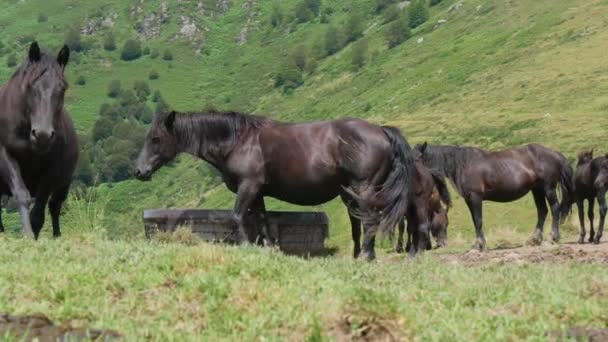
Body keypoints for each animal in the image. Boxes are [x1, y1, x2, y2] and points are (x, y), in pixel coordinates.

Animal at [0, 42, 78, 238]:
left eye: (62, 88)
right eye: (30, 86)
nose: (42, 135)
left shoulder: (51, 168)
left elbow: (39, 211)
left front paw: (32, 235)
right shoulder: (5, 155)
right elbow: (22, 195)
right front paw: (27, 234)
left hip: (63, 184)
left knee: (55, 207)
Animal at [135, 111, 416, 260]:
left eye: (156, 139)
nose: (139, 171)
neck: (238, 141)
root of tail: (381, 131)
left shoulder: (248, 187)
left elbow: (237, 216)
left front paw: (247, 245)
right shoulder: (258, 192)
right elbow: (262, 220)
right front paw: (269, 247)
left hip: (364, 189)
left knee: (370, 221)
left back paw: (367, 256)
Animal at [414, 143, 576, 250]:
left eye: (416, 158)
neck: (464, 164)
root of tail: (555, 154)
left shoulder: (475, 197)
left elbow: (478, 220)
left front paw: (478, 245)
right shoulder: (469, 199)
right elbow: (475, 221)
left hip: (548, 188)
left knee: (555, 208)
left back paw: (553, 237)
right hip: (537, 190)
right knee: (542, 211)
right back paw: (534, 240)